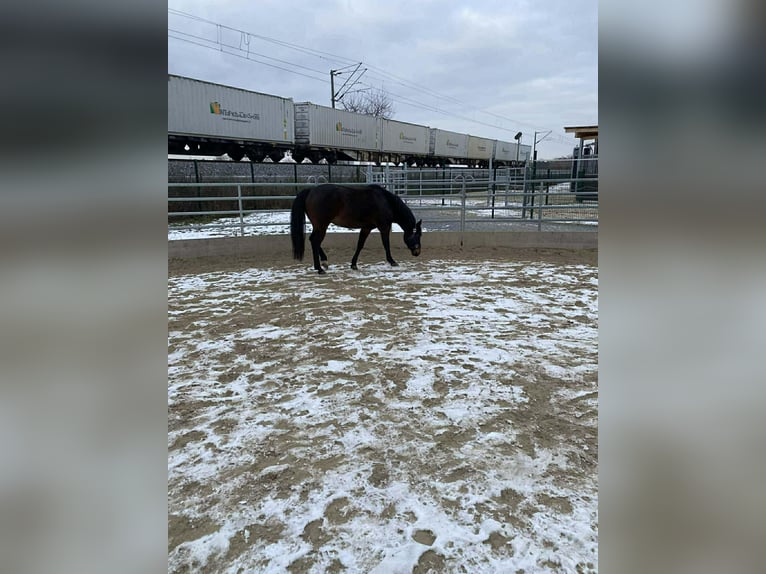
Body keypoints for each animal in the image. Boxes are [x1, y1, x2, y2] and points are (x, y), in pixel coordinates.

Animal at [290, 184, 422, 274]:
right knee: (315, 241)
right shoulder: (384, 227)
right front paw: (392, 261)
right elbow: (386, 244)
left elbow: (360, 245)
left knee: (313, 240)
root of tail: (311, 190)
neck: (386, 202)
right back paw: (320, 268)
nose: (417, 252)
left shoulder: (366, 228)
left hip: (318, 226)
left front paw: (353, 264)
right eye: (418, 236)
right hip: (322, 225)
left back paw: (324, 262)